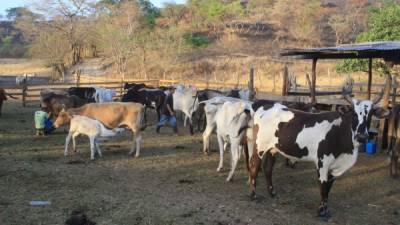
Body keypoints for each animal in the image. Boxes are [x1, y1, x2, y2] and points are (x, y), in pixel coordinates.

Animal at [245, 92, 390, 218]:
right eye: (353, 114)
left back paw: (272, 192)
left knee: (268, 168)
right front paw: (321, 211)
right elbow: (323, 187)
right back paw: (253, 195)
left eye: (371, 114)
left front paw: (325, 210)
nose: (362, 136)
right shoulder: (322, 162)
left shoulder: (334, 166)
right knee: (254, 166)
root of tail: (266, 104)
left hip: (273, 148)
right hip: (259, 146)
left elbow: (329, 188)